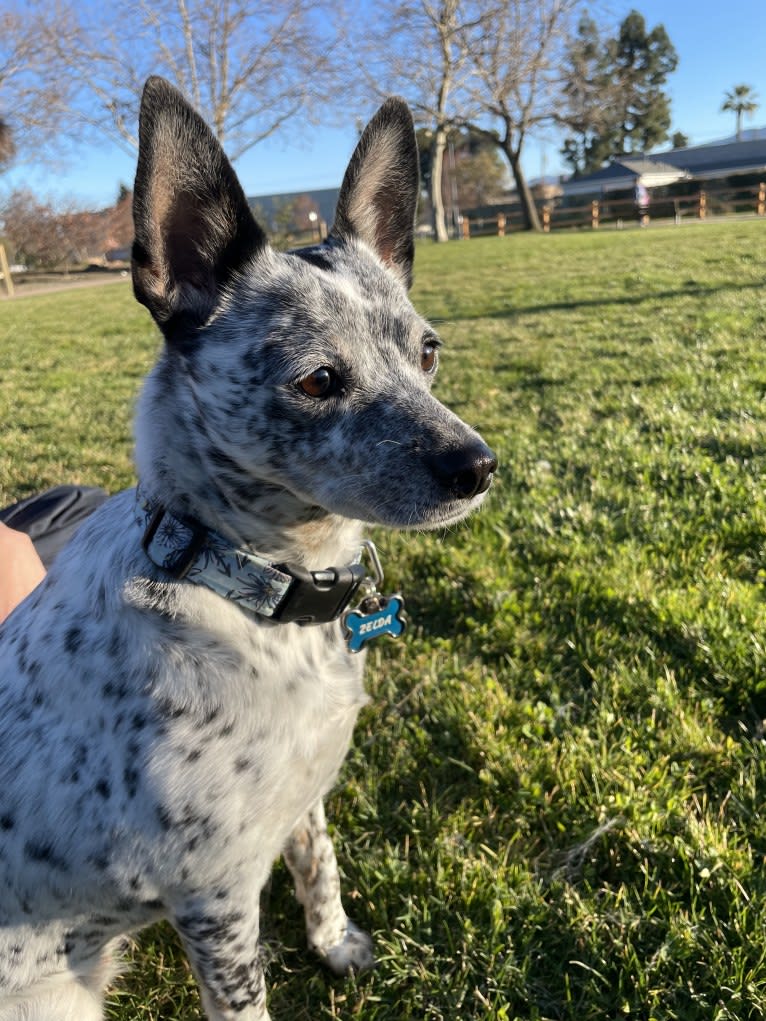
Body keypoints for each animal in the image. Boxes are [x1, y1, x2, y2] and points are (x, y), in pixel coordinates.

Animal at [0, 75, 498, 1016]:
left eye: (428, 353)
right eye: (318, 379)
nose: (479, 465)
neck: (251, 583)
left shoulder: (303, 802)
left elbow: (321, 867)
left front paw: (335, 944)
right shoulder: (215, 896)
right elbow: (246, 997)